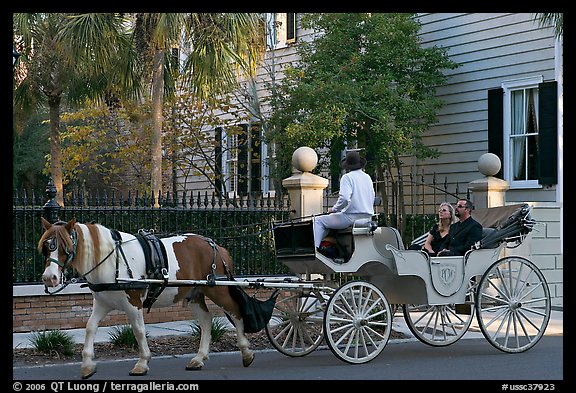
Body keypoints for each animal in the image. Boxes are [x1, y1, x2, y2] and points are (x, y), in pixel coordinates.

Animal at [39, 216, 255, 378]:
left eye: (65, 246)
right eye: (46, 248)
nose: (49, 278)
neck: (112, 259)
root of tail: (216, 246)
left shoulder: (134, 304)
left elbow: (139, 331)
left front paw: (142, 363)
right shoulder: (102, 304)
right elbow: (90, 327)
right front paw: (87, 365)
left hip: (218, 290)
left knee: (235, 314)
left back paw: (246, 352)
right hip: (194, 293)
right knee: (206, 320)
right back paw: (199, 358)